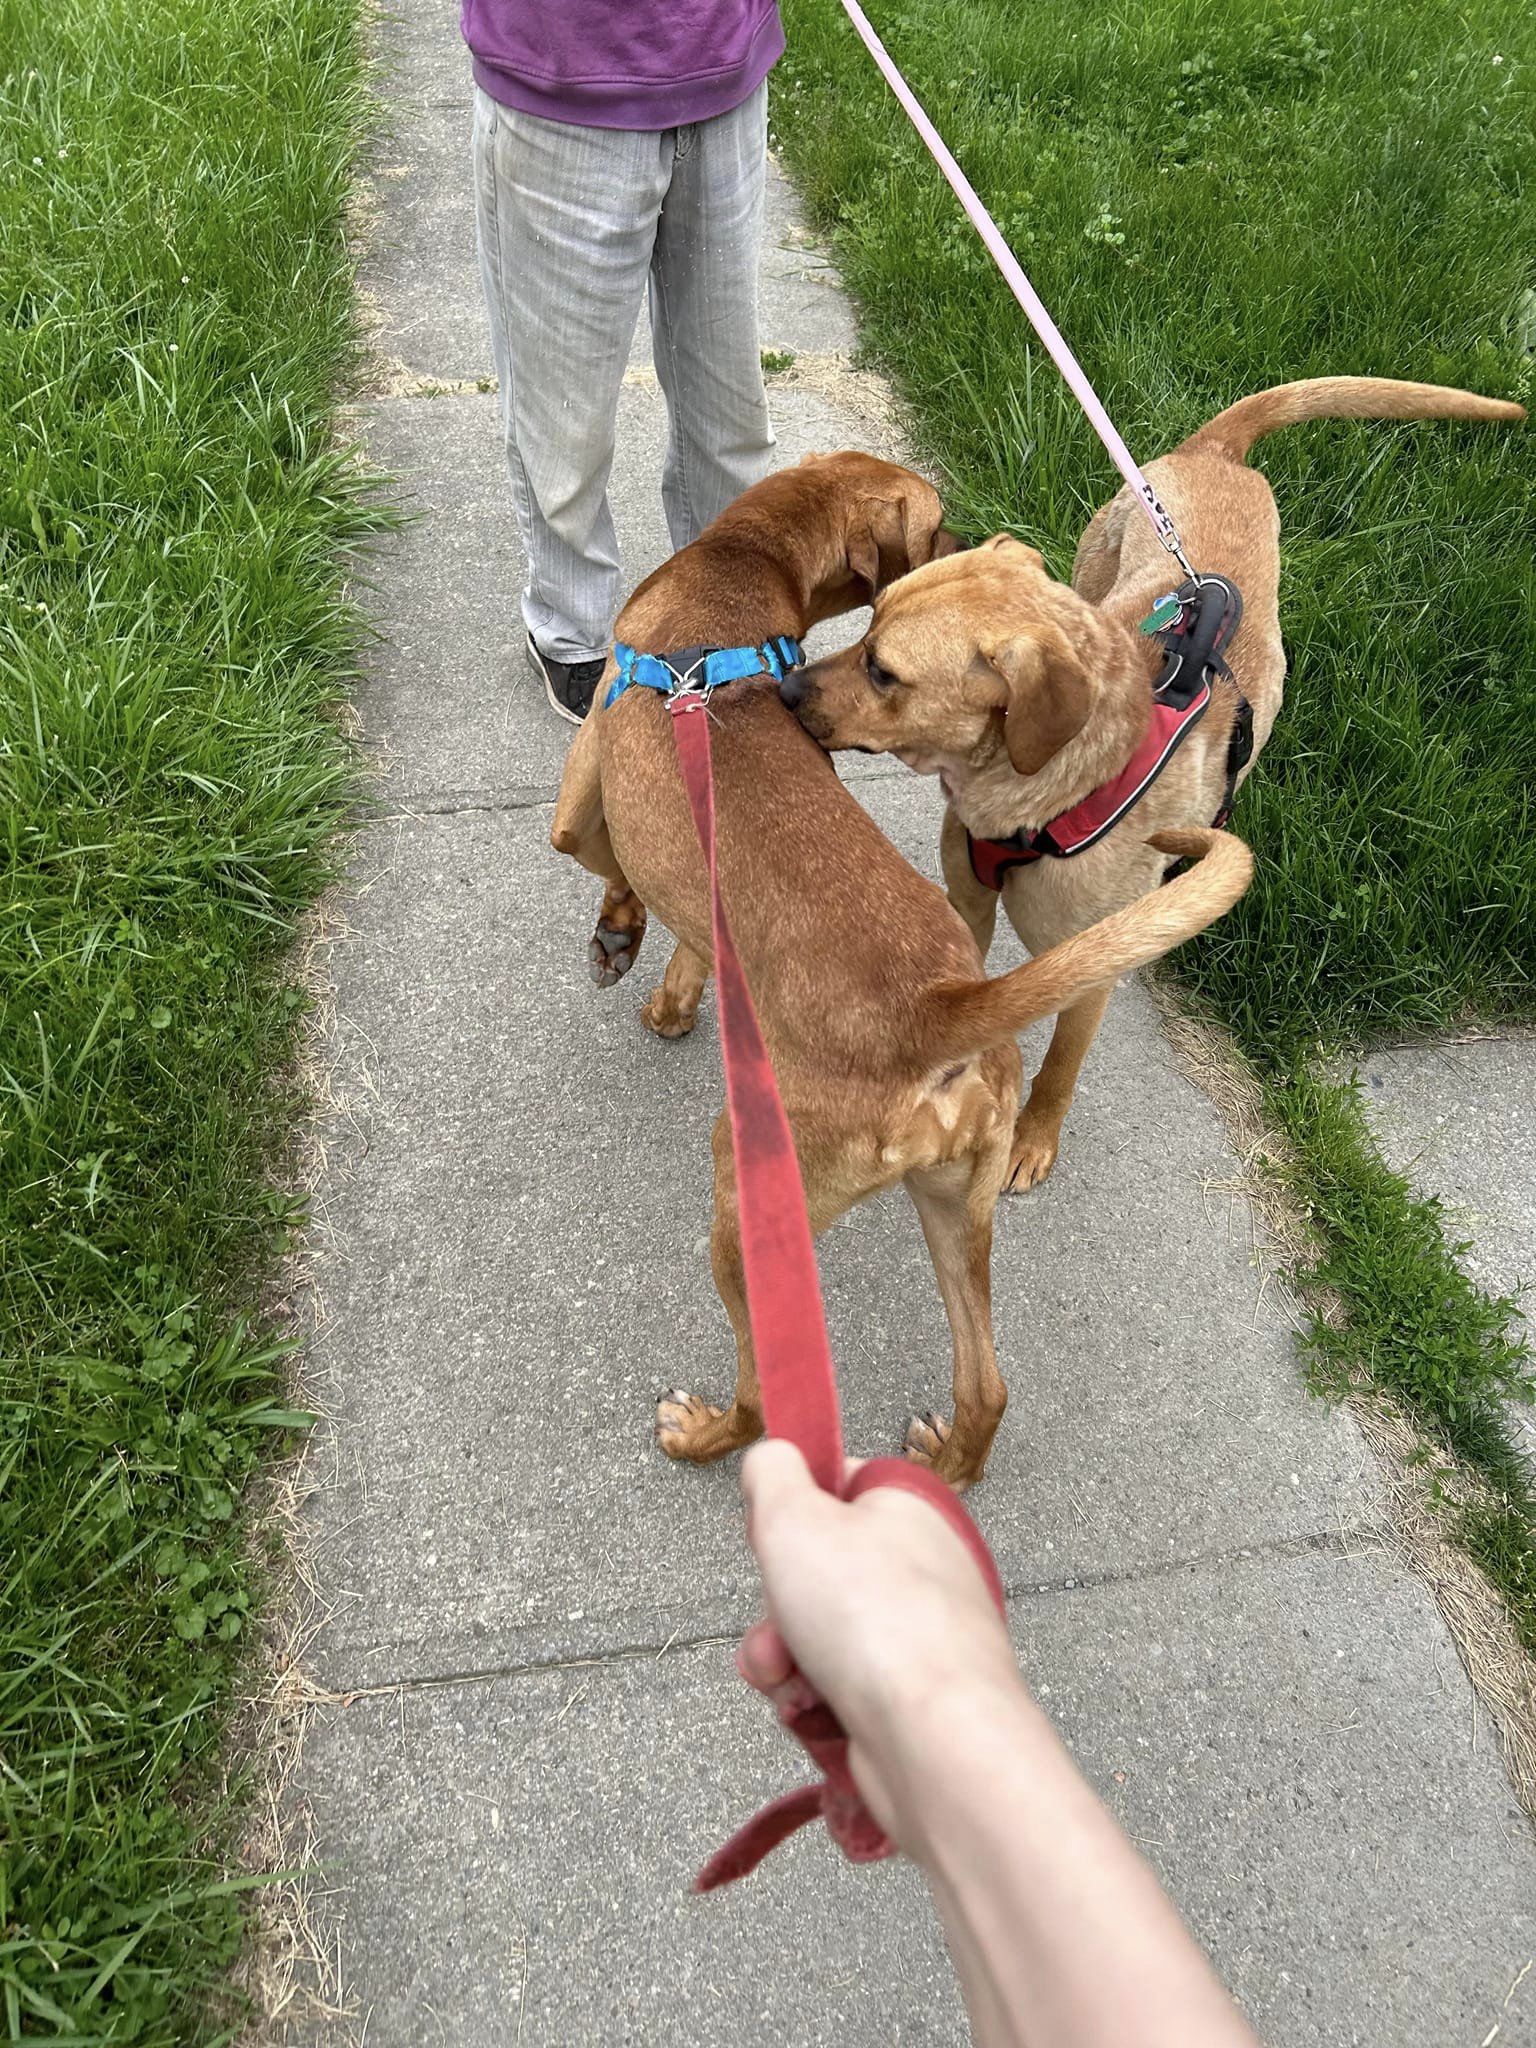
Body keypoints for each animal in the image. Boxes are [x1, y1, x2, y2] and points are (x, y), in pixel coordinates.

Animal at [548, 452, 1253, 1490]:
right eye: (937, 523)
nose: (986, 539)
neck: (738, 566)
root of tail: (941, 1006)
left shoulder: (579, 801)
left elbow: (605, 865)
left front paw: (620, 935)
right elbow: (692, 939)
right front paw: (669, 989)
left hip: (749, 1204)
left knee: (764, 1399)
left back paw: (703, 1432)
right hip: (955, 1211)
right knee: (989, 1387)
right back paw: (950, 1460)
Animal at [794, 380, 1531, 1196]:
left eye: (882, 671)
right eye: (867, 627)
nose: (786, 689)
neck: (1040, 793)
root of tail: (1217, 451)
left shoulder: (1091, 973)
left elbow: (1060, 1067)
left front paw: (1033, 1137)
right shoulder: (970, 903)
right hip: (1096, 566)